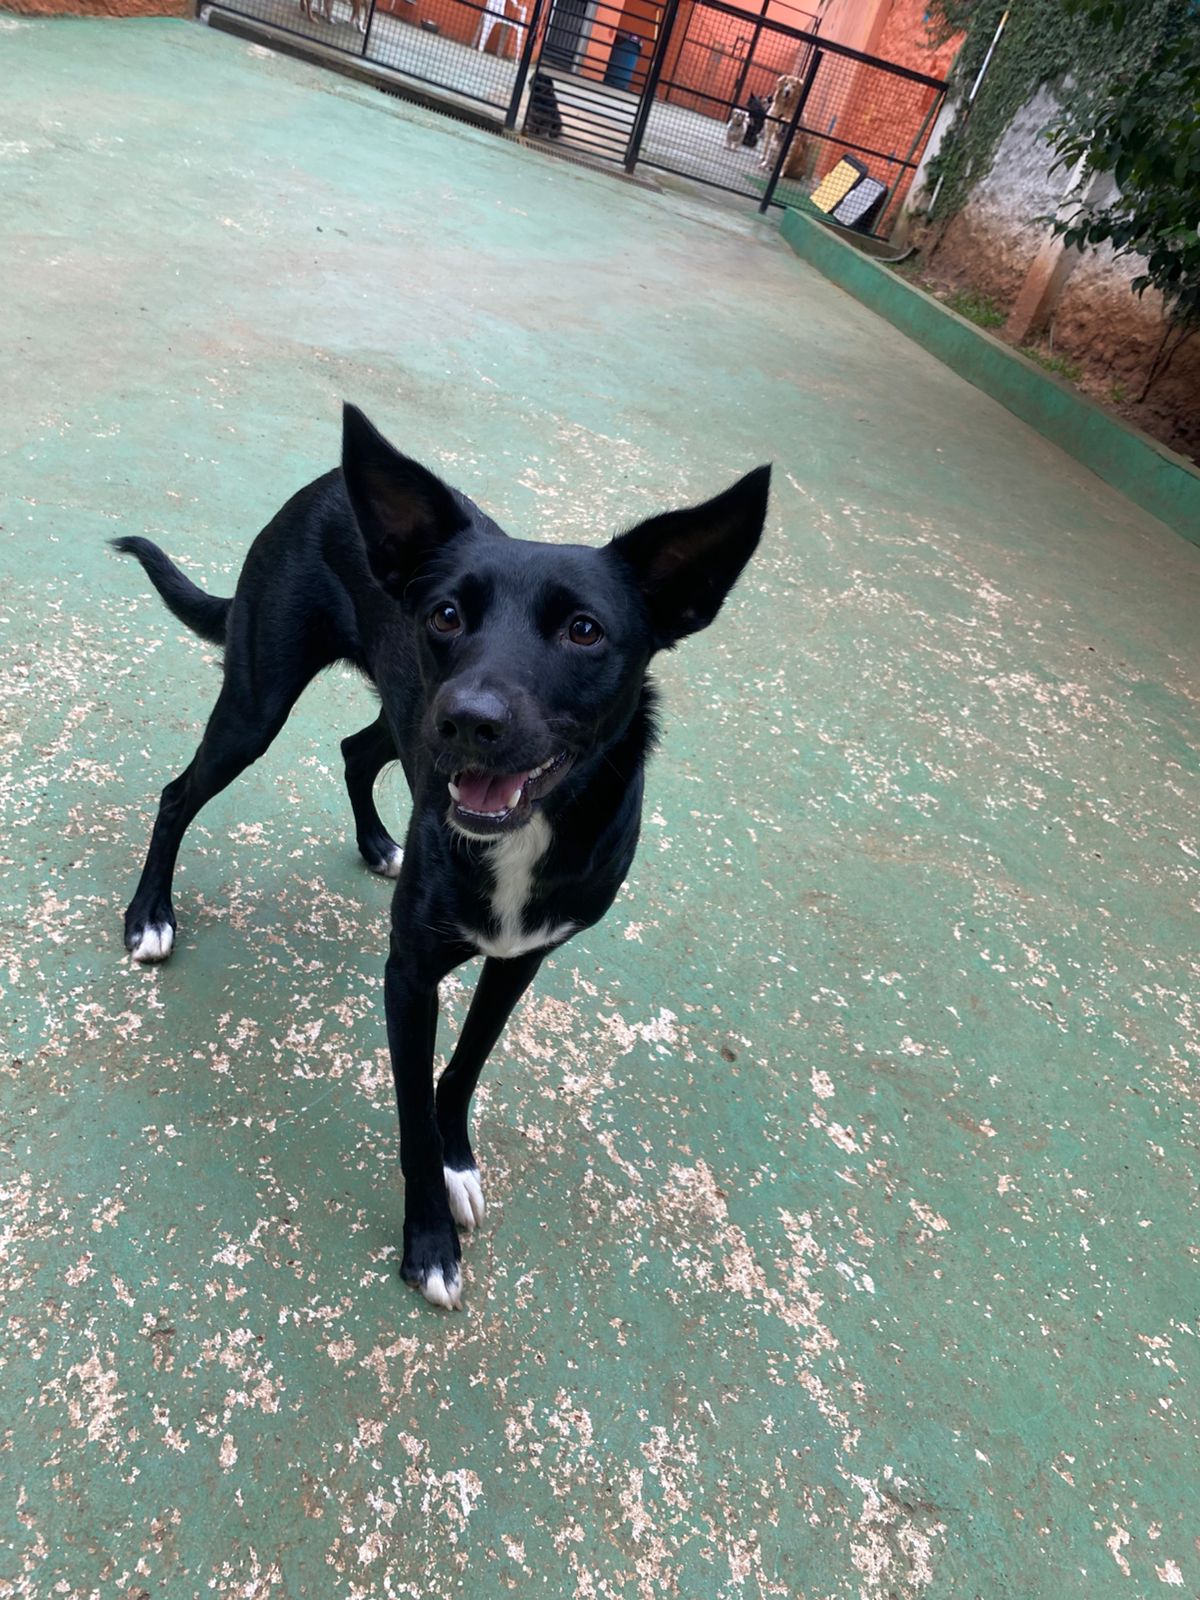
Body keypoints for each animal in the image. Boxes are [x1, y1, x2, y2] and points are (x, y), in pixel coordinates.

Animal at [113, 406, 769, 1308]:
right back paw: (151, 916)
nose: (470, 718)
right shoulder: (410, 974)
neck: (523, 838)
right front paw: (428, 1240)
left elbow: (461, 1069)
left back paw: (376, 842)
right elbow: (414, 1117)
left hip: (401, 719)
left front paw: (459, 1160)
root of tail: (328, 485)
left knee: (356, 751)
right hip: (265, 699)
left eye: (584, 630)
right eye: (448, 615)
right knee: (179, 795)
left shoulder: (521, 959)